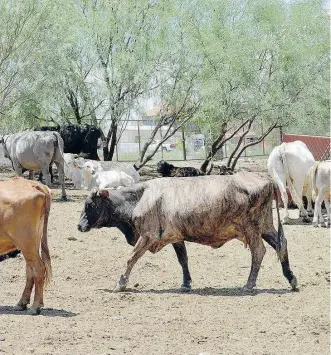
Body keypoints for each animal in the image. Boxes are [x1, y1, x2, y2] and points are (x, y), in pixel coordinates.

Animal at [0, 179, 52, 316]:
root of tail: (35, 184)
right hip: (31, 244)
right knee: (30, 270)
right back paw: (22, 303)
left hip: (27, 242)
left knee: (38, 268)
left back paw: (35, 306)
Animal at [78, 172, 298, 294]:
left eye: (89, 204)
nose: (79, 226)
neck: (141, 197)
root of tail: (266, 178)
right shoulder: (176, 236)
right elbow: (183, 259)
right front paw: (186, 283)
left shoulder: (148, 236)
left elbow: (131, 258)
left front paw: (121, 283)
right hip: (265, 227)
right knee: (281, 244)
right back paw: (291, 278)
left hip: (252, 229)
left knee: (259, 252)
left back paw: (249, 284)